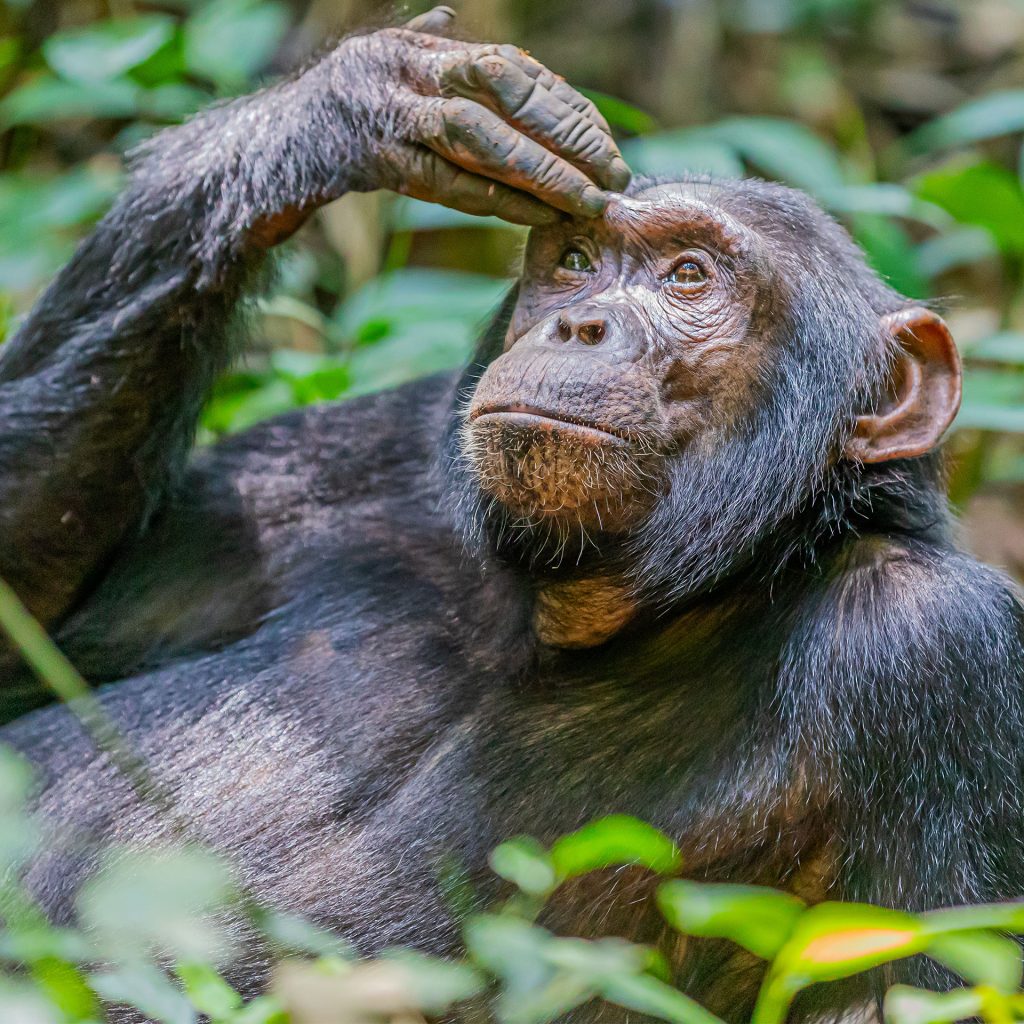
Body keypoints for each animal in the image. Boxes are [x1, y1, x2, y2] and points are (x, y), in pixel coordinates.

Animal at [2, 8, 1023, 1021]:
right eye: (573, 262)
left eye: (690, 275)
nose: (579, 324)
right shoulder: (348, 456)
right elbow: (35, 633)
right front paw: (370, 102)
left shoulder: (941, 651)